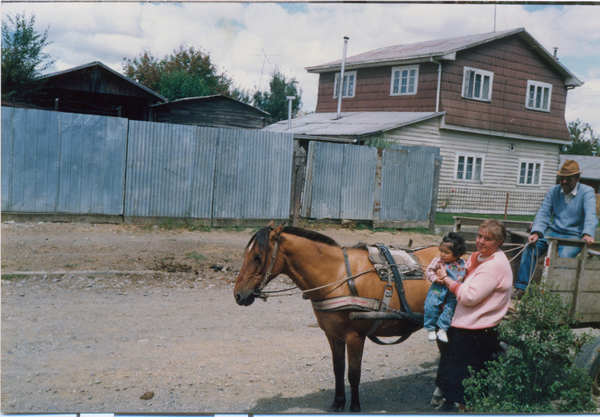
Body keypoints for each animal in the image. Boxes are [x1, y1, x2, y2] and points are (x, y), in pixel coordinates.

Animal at [232, 223, 438, 412]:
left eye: (257, 257)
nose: (238, 295)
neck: (338, 276)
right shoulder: (333, 335)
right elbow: (338, 369)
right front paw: (338, 402)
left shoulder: (355, 337)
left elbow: (353, 373)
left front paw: (354, 406)